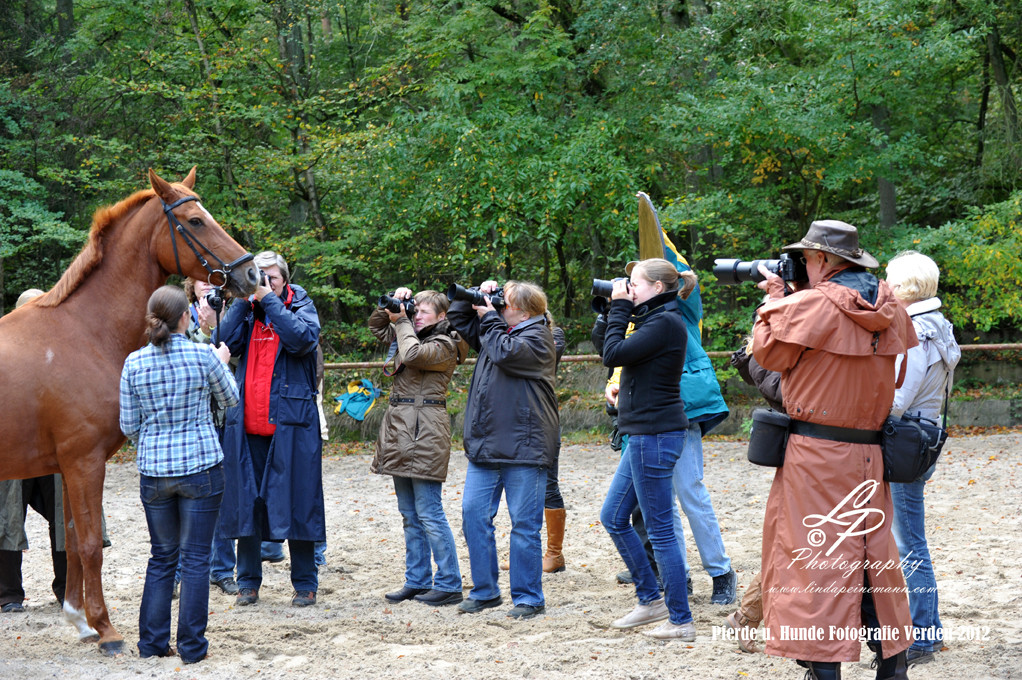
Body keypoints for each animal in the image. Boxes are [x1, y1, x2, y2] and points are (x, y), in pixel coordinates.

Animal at [0, 168, 259, 654]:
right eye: (195, 221)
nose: (251, 273)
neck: (83, 331)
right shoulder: (84, 462)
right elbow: (89, 545)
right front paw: (106, 630)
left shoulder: (67, 466)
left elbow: (71, 540)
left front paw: (79, 620)